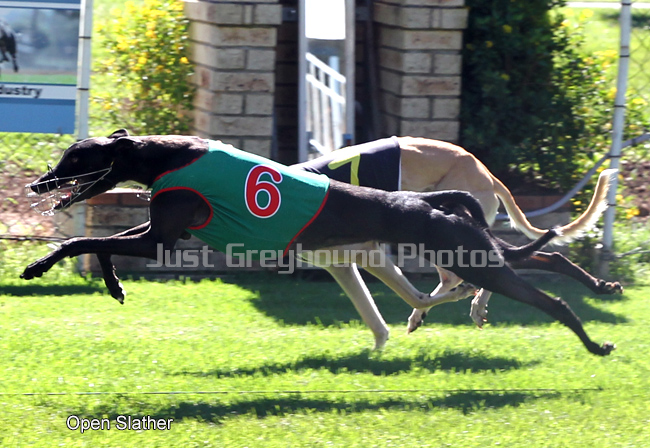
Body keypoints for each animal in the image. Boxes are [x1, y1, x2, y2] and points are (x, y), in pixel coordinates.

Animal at [21, 130, 615, 356]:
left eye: (74, 158)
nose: (37, 184)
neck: (167, 154)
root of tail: (434, 201)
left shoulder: (163, 237)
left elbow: (87, 242)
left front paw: (38, 266)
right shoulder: (164, 232)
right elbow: (100, 244)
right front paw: (110, 284)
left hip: (465, 256)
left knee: (547, 297)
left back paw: (595, 343)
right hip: (473, 250)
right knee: (548, 255)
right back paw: (602, 285)